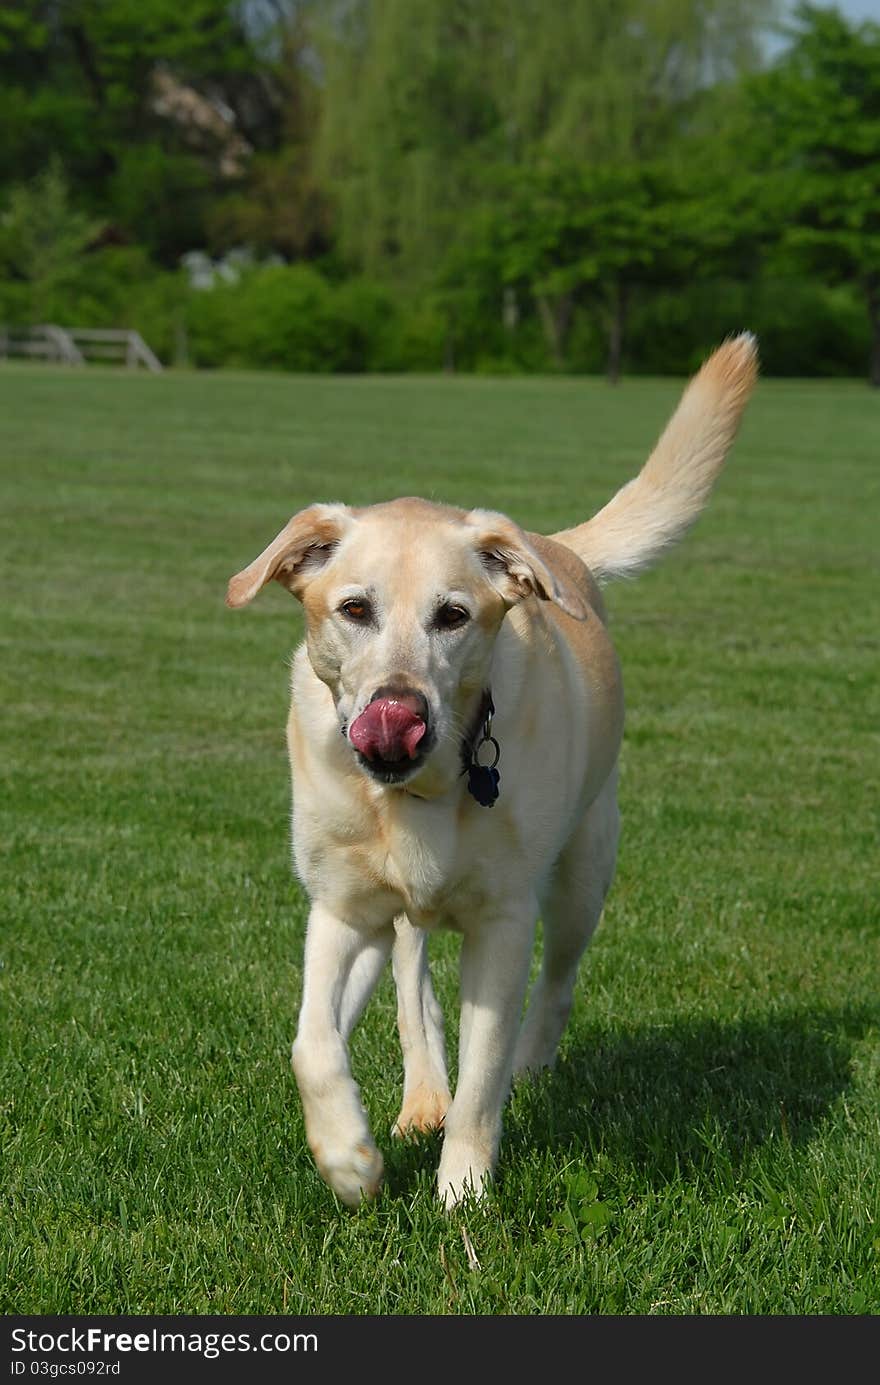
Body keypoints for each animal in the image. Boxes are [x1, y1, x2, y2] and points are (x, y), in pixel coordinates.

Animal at [225, 329, 759, 1207]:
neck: (421, 792)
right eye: (355, 608)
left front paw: (464, 1193)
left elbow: (485, 1071)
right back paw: (418, 1102)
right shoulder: (343, 910)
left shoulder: (505, 924)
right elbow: (311, 1043)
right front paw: (350, 1160)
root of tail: (558, 547)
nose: (397, 717)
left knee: (557, 986)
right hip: (403, 922)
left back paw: (529, 1068)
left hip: (584, 873)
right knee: (415, 993)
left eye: (453, 615)